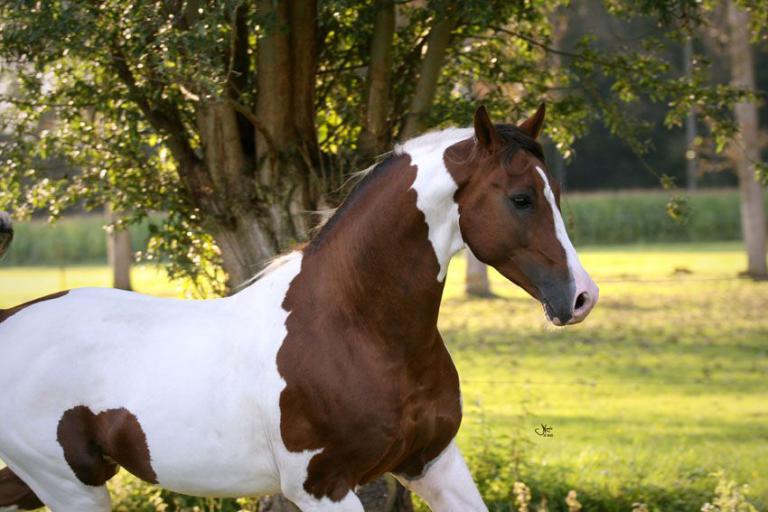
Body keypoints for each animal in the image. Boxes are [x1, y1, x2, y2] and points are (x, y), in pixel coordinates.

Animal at [0, 105, 598, 511]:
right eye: (521, 198)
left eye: (556, 190)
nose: (581, 298)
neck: (357, 329)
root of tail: (10, 320)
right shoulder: (323, 488)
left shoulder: (433, 463)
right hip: (69, 484)